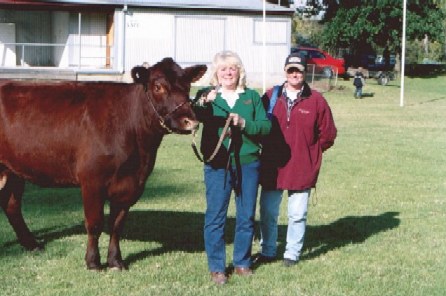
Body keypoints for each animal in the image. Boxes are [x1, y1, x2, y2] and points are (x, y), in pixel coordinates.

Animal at [0, 57, 206, 270]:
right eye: (158, 87)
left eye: (187, 85)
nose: (190, 121)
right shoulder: (92, 181)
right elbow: (95, 223)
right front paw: (93, 262)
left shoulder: (131, 184)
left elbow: (117, 226)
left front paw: (116, 261)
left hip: (13, 169)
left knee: (10, 204)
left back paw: (32, 244)